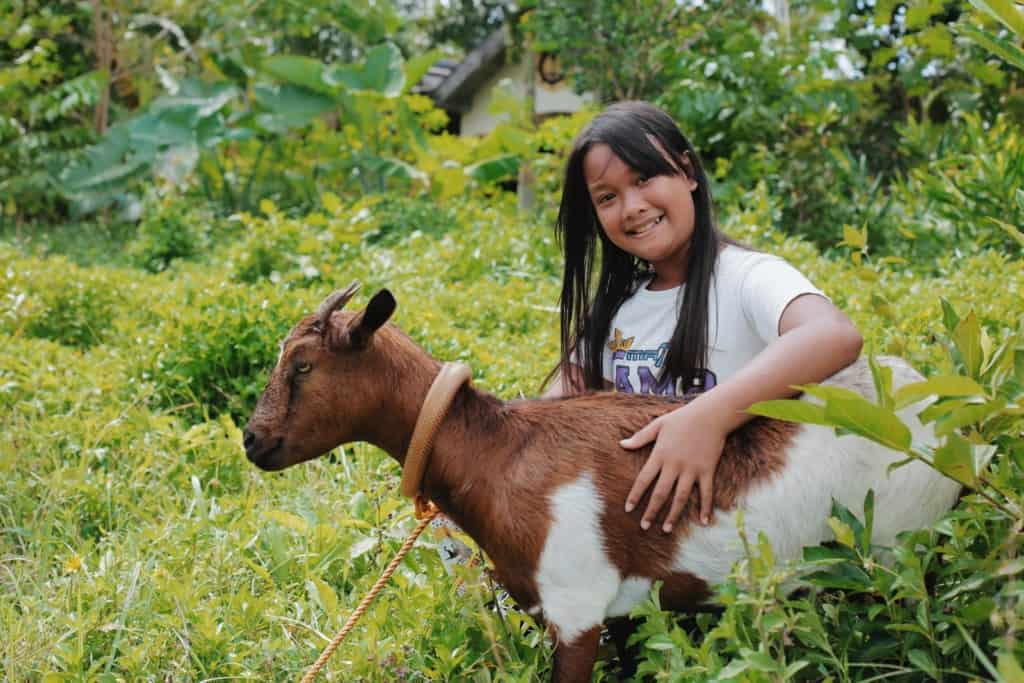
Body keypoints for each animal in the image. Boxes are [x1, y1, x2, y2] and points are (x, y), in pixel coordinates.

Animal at [245, 286, 966, 679]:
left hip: (900, 550)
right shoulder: (616, 609)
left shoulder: (576, 608)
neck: (499, 452)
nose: (252, 440)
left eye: (303, 365)